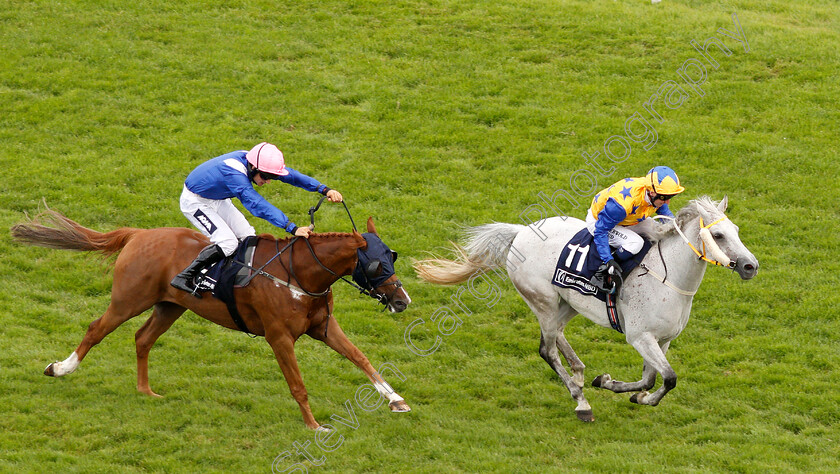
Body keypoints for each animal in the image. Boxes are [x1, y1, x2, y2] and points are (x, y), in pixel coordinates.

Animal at [9, 207, 410, 430]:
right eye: (377, 265)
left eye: (392, 256)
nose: (402, 300)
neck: (299, 275)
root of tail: (138, 234)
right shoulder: (279, 336)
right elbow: (298, 384)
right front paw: (314, 426)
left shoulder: (323, 327)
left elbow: (361, 358)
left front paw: (396, 400)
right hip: (128, 300)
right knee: (96, 330)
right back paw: (60, 368)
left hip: (170, 306)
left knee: (143, 338)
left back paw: (145, 390)